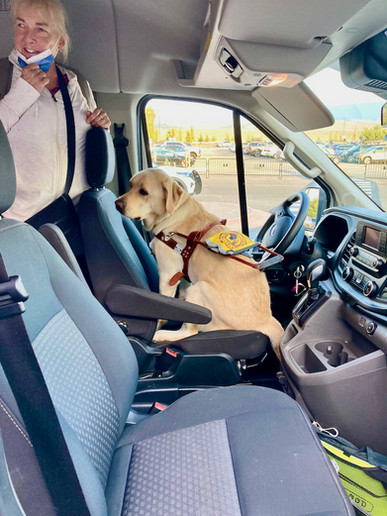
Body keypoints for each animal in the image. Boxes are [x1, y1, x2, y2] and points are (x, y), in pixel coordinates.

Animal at [116, 168, 284, 354]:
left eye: (144, 192)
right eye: (130, 186)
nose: (117, 204)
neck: (173, 215)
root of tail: (266, 320)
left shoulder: (168, 275)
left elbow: (163, 307)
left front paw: (159, 323)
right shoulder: (182, 276)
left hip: (199, 288)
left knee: (190, 331)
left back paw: (163, 334)